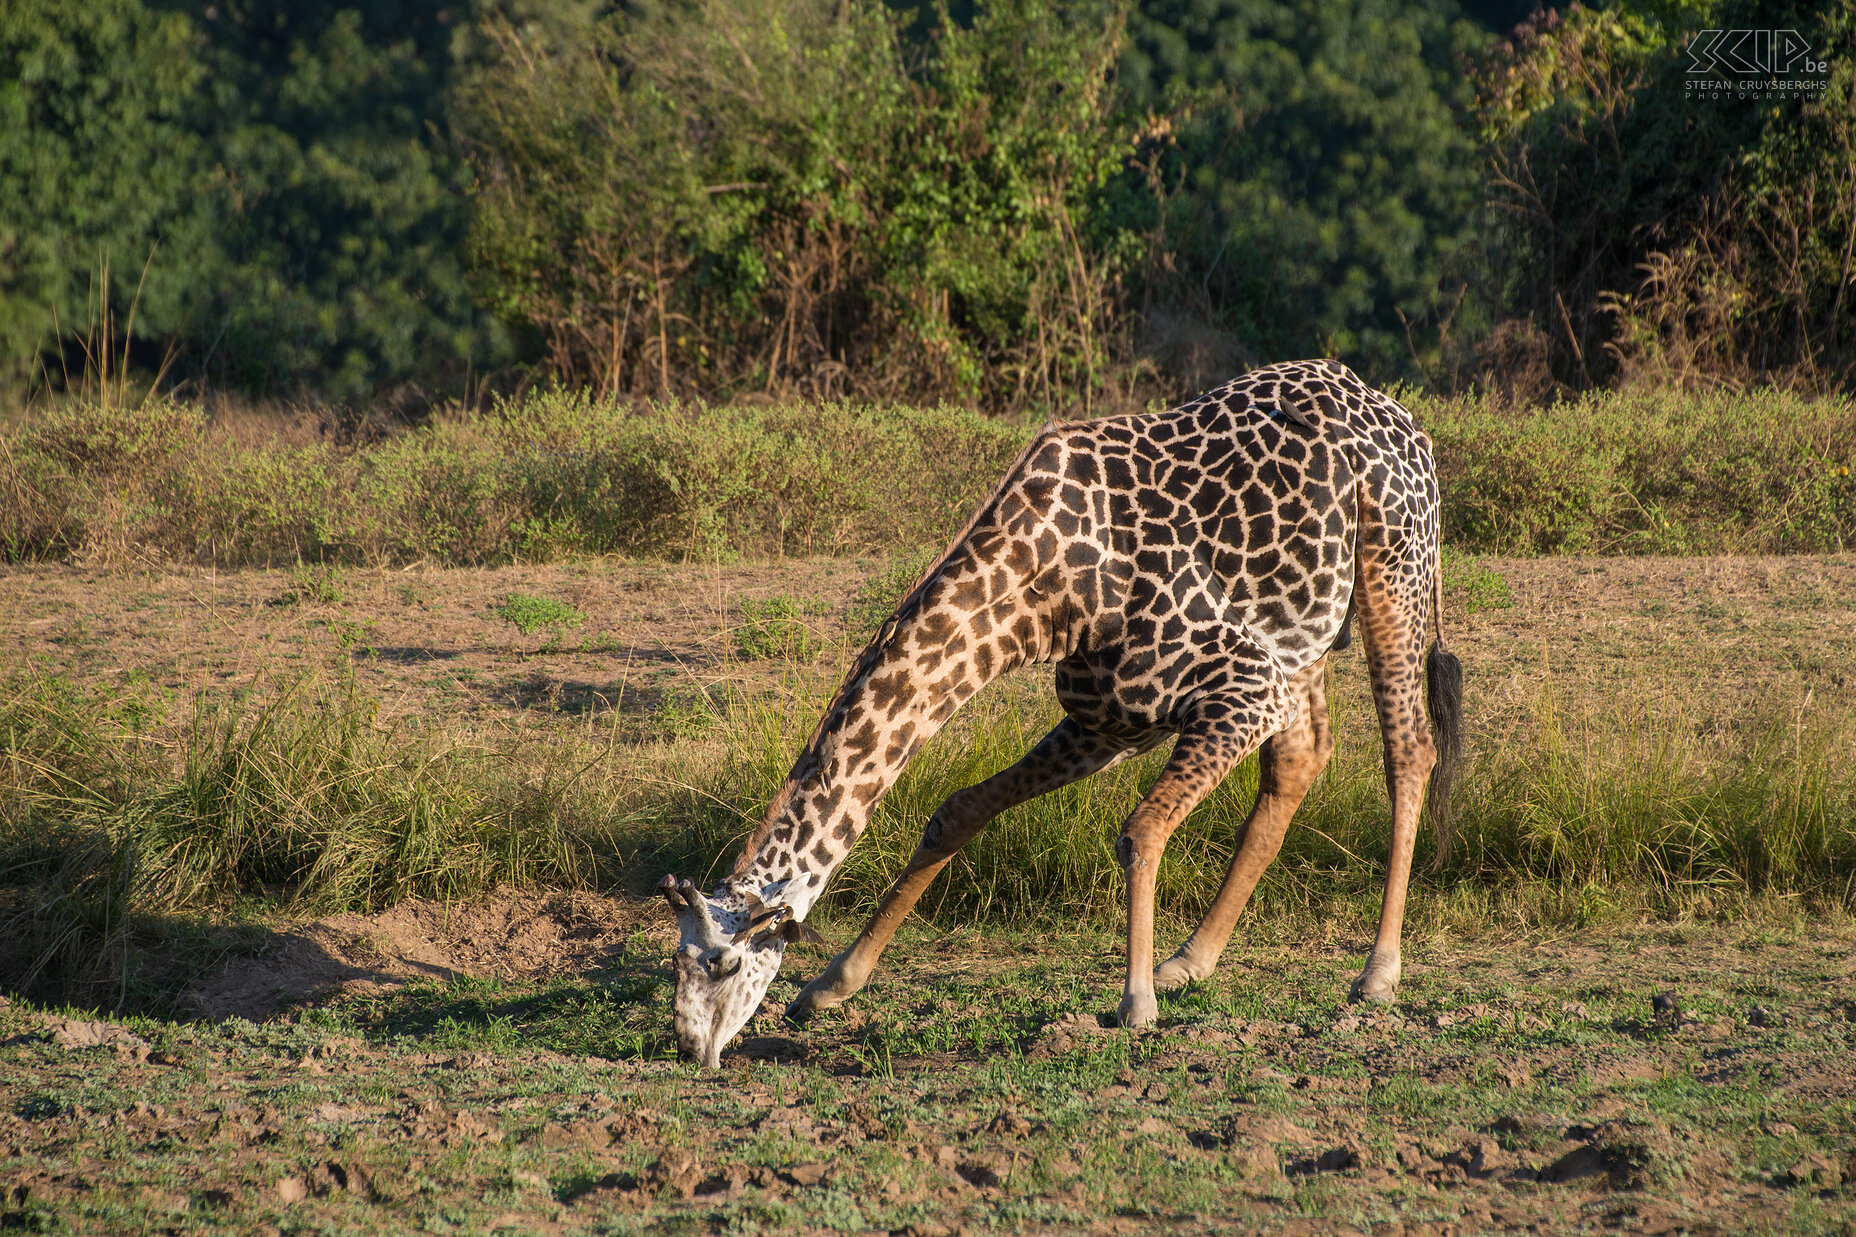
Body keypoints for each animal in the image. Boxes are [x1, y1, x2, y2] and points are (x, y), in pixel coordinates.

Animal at [657, 354, 1462, 1062]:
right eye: (674, 960)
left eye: (724, 964)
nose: (690, 1046)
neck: (1042, 594)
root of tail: (1405, 421)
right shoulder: (1108, 719)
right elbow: (960, 810)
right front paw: (830, 987)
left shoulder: (1242, 684)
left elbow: (1140, 830)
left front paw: (1135, 1004)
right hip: (1304, 632)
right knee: (1301, 759)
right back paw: (1190, 960)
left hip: (1393, 573)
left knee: (1409, 750)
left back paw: (1376, 973)